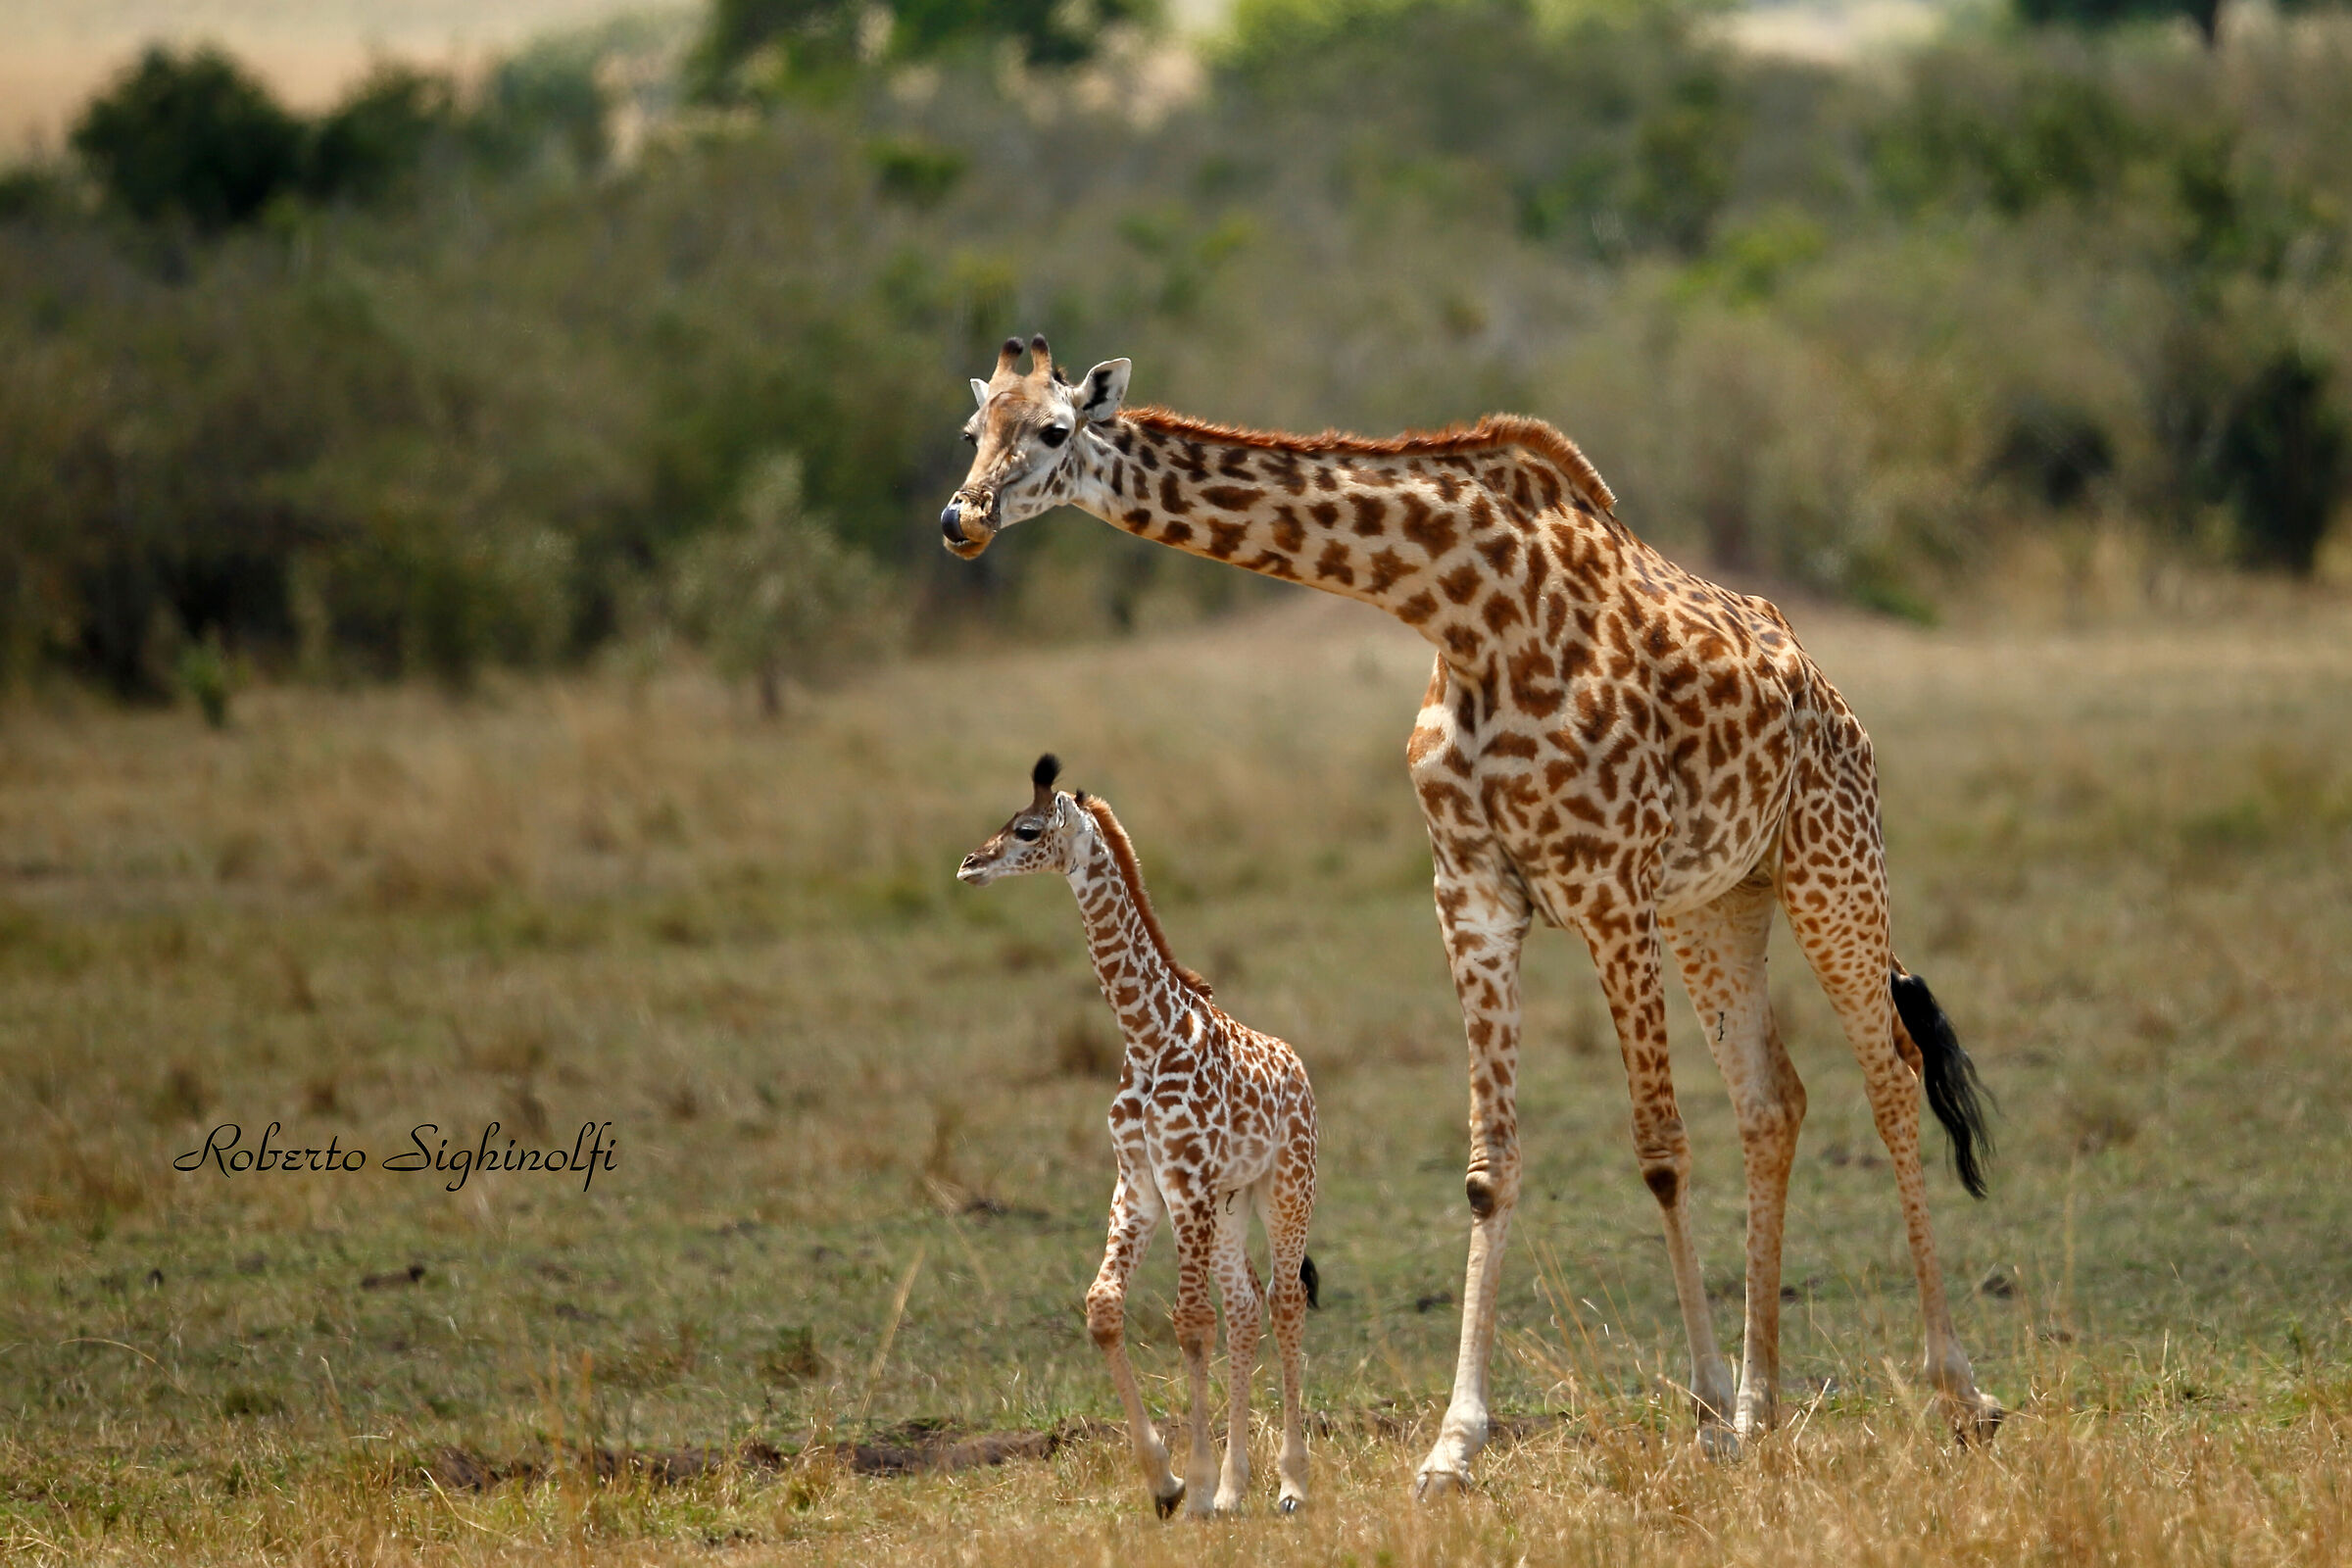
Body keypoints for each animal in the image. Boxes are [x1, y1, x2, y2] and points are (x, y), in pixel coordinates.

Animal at [957, 753, 1321, 1517]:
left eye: (1027, 829)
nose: (970, 864)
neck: (1149, 1035)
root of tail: (1300, 1069)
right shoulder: (1143, 1184)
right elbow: (1104, 1309)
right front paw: (1168, 1481)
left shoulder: (1187, 1183)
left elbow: (1190, 1322)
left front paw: (1198, 1479)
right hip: (1231, 1204)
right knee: (1245, 1306)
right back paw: (1238, 1489)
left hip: (1286, 1188)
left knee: (1283, 1300)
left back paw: (1291, 1484)